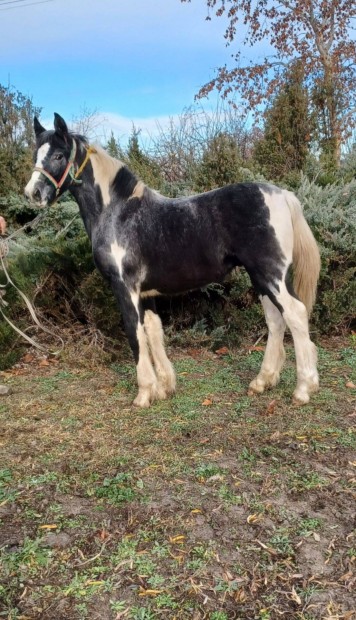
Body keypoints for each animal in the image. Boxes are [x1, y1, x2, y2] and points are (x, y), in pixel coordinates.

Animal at [24, 114, 320, 410]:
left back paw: (304, 389)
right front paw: (164, 387)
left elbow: (134, 333)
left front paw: (144, 393)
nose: (33, 192)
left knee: (295, 314)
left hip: (271, 275)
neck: (118, 213)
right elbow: (153, 331)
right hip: (261, 277)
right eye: (35, 154)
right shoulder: (146, 293)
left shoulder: (125, 288)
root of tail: (282, 195)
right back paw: (262, 381)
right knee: (275, 320)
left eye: (59, 155)